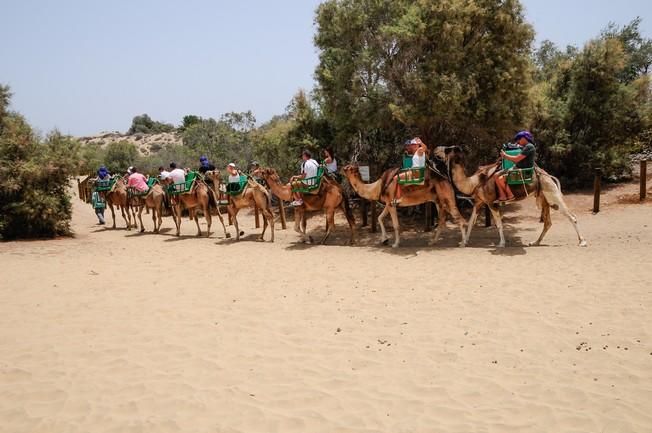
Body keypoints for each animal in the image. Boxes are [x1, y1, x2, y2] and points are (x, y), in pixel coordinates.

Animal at [436, 145, 588, 246]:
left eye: (448, 149)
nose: (436, 149)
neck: (475, 182)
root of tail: (547, 176)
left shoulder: (491, 202)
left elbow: (498, 224)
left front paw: (501, 243)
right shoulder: (479, 201)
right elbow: (471, 222)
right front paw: (463, 242)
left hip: (552, 195)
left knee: (571, 217)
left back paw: (582, 241)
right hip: (544, 198)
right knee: (548, 222)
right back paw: (535, 242)